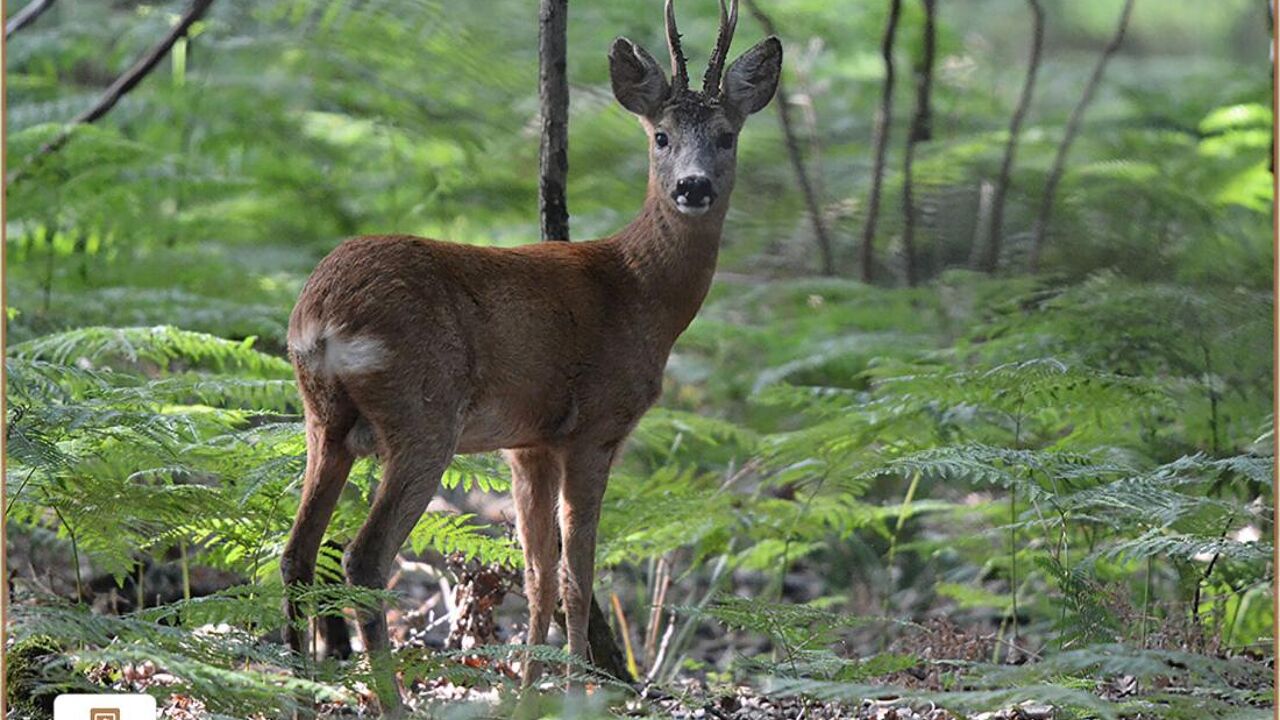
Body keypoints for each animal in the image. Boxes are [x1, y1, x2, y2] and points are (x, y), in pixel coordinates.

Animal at [282, 0, 778, 707]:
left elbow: (538, 572)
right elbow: (578, 574)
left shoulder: (528, 442)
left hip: (322, 418)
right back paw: (389, 699)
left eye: (728, 136)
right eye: (660, 136)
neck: (638, 290)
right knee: (363, 556)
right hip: (422, 413)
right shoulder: (594, 428)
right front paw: (572, 689)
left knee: (296, 550)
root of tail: (320, 314)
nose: (693, 187)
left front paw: (525, 692)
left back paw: (297, 689)